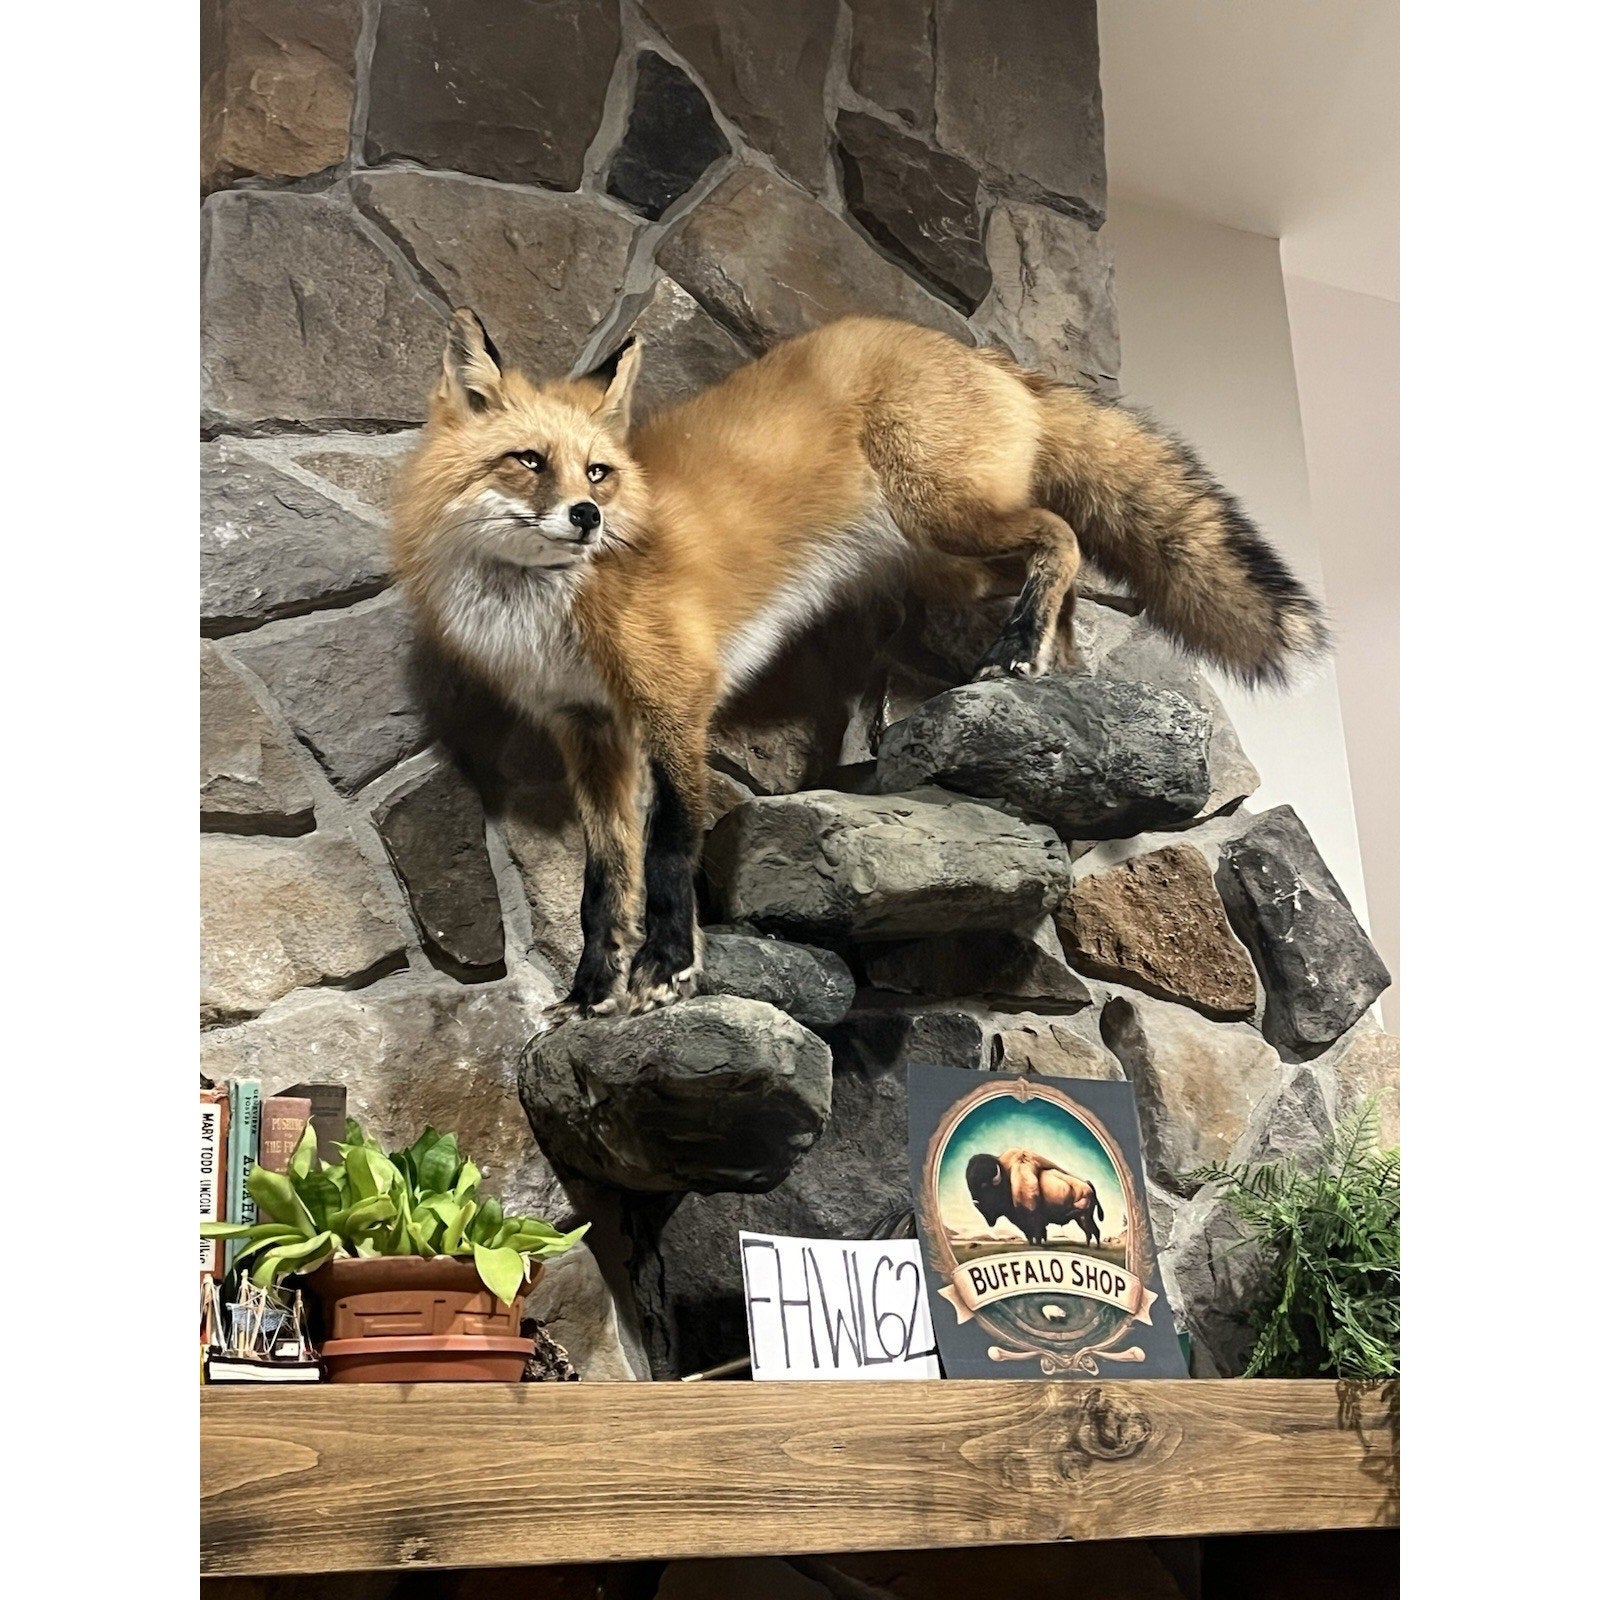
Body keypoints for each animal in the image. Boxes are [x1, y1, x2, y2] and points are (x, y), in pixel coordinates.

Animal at [392, 309, 1326, 1020]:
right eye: (527, 461)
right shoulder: (589, 735)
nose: (586, 517)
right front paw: (593, 991)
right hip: (950, 560)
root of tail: (982, 353)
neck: (544, 613)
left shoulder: (674, 704)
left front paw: (665, 969)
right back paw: (1050, 669)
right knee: (1061, 581)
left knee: (1060, 534)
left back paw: (1015, 657)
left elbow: (666, 850)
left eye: (597, 473)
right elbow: (601, 883)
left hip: (946, 515)